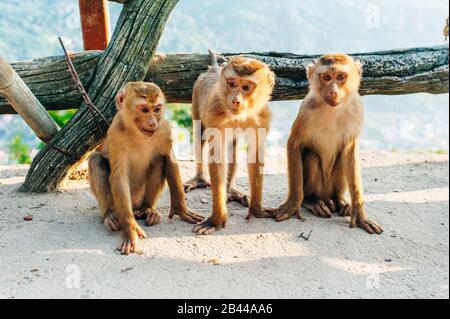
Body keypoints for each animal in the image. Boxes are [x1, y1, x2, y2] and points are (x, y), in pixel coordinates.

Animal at [88, 82, 204, 255]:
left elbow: (169, 159)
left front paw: (181, 209)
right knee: (96, 160)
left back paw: (147, 210)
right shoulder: (115, 133)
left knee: (159, 159)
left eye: (156, 109)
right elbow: (119, 176)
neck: (137, 133)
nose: (152, 123)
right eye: (144, 110)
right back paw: (110, 214)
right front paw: (130, 229)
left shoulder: (163, 129)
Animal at [185, 50, 276, 235]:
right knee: (200, 136)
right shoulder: (214, 114)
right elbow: (217, 157)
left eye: (246, 87)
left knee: (232, 146)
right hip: (195, 95)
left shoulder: (261, 118)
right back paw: (199, 179)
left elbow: (255, 155)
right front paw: (216, 220)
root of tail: (213, 70)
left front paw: (257, 209)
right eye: (233, 84)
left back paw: (230, 190)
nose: (236, 100)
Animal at [268, 53, 382, 235]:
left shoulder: (357, 108)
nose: (333, 91)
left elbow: (349, 150)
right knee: (312, 157)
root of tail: (325, 196)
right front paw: (292, 205)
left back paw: (340, 201)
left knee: (341, 159)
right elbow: (295, 144)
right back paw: (312, 201)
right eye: (327, 77)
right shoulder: (306, 109)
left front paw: (359, 214)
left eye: (341, 77)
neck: (332, 110)